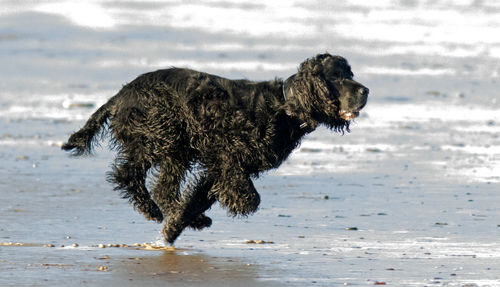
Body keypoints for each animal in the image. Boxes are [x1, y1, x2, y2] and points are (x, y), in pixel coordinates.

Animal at [61, 53, 368, 244]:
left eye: (350, 73)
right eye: (337, 77)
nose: (365, 91)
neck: (284, 108)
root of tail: (120, 95)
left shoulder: (219, 168)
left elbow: (196, 198)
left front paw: (174, 229)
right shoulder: (226, 158)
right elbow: (249, 198)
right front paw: (236, 204)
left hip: (176, 149)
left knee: (165, 189)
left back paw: (190, 219)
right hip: (161, 136)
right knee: (127, 174)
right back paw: (151, 209)